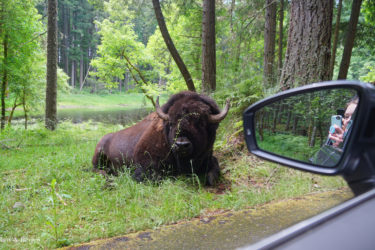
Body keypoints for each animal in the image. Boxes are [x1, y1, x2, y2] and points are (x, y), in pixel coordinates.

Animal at [92, 91, 231, 185]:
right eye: (171, 123)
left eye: (201, 123)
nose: (181, 145)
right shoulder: (145, 165)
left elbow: (214, 170)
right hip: (99, 153)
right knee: (95, 169)